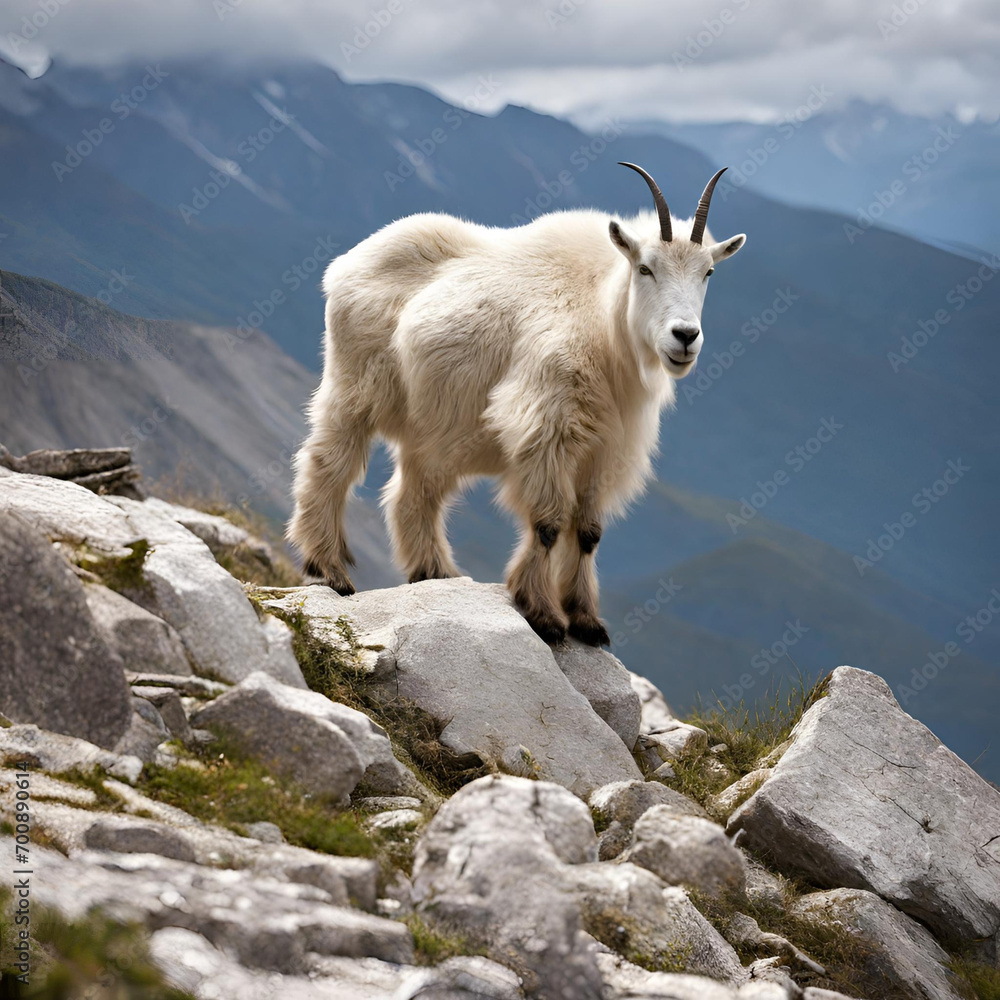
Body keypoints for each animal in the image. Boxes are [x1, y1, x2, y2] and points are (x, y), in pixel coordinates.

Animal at [288, 162, 745, 645]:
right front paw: (543, 615)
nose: (685, 336)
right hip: (354, 385)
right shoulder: (547, 428)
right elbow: (548, 524)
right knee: (329, 462)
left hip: (433, 425)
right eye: (645, 268)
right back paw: (329, 568)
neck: (604, 322)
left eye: (708, 272)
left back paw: (436, 571)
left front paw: (586, 620)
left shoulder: (605, 448)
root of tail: (343, 265)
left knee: (413, 492)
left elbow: (589, 532)